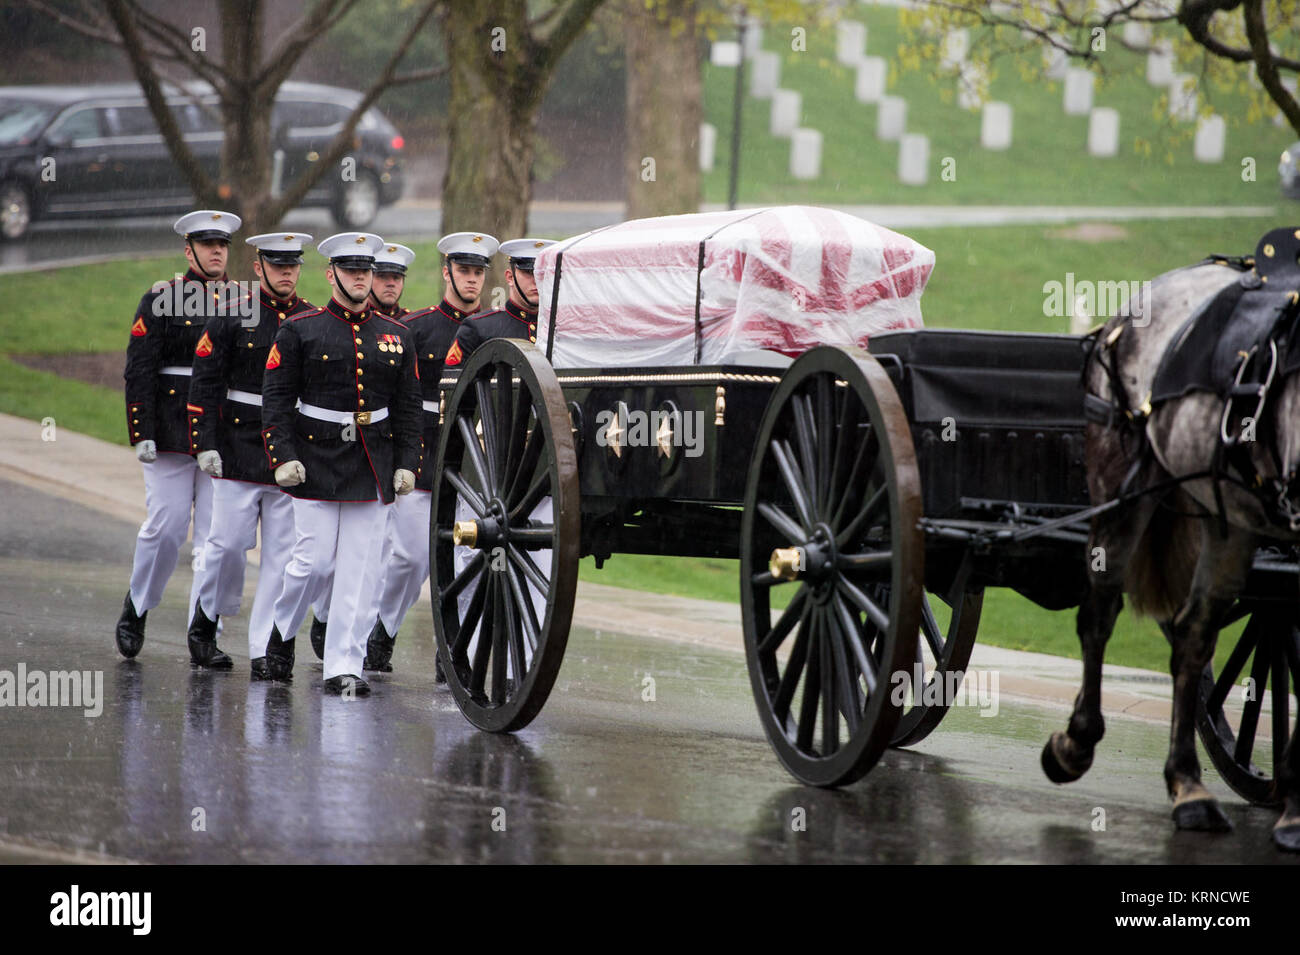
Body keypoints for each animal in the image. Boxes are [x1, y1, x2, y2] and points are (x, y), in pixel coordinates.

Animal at [1040, 244, 1294, 852]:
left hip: (1224, 515)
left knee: (1190, 635)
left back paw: (1190, 788)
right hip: (1126, 490)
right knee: (1103, 612)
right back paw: (1082, 747)